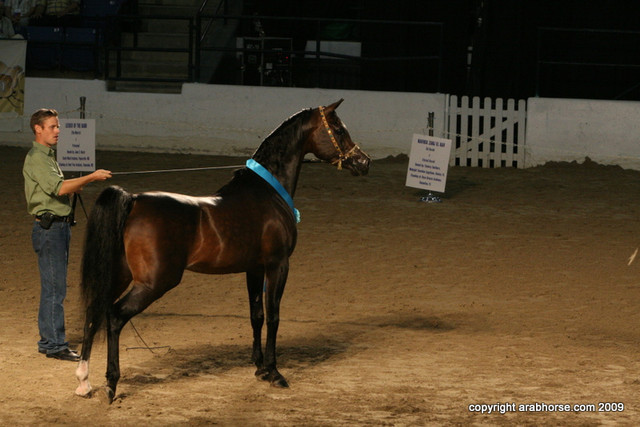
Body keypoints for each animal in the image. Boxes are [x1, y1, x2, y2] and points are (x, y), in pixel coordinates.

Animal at [74, 99, 370, 403]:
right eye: (338, 129)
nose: (364, 162)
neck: (267, 191)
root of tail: (132, 200)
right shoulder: (278, 265)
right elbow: (273, 316)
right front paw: (274, 372)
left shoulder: (255, 268)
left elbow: (257, 315)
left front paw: (259, 367)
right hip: (154, 283)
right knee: (114, 316)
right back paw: (111, 383)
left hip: (118, 274)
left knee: (94, 313)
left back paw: (84, 380)